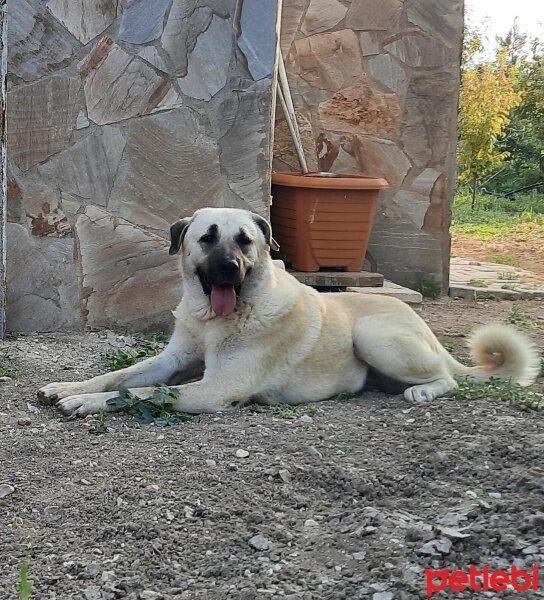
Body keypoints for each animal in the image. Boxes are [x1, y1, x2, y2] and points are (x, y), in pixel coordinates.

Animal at [38, 207, 540, 418]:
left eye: (246, 241)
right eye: (207, 238)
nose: (230, 269)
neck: (215, 320)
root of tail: (421, 322)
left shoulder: (216, 388)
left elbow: (141, 394)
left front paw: (86, 403)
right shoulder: (174, 360)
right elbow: (119, 377)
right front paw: (70, 387)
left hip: (375, 337)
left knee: (448, 378)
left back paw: (424, 392)